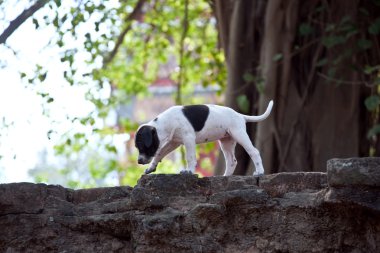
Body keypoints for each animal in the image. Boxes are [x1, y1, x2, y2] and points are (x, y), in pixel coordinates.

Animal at [135, 100, 272, 175]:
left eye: (143, 146)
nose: (139, 161)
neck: (165, 123)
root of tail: (239, 115)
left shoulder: (188, 139)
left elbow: (190, 157)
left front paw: (189, 171)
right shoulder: (173, 143)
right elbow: (159, 154)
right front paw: (151, 167)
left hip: (239, 135)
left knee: (254, 152)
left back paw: (260, 172)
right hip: (226, 142)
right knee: (231, 161)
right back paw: (225, 176)